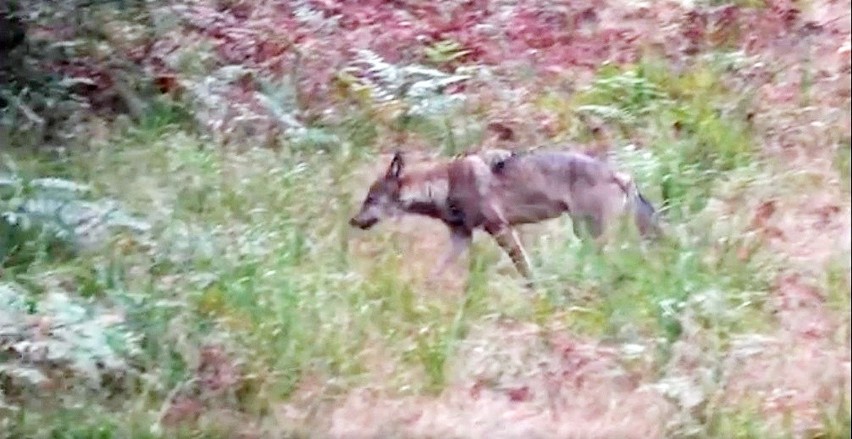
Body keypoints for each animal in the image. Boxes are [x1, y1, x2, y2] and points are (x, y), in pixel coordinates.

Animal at [350, 148, 664, 286]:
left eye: (370, 200)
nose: (352, 221)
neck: (442, 186)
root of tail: (621, 174)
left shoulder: (499, 228)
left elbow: (524, 266)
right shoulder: (461, 237)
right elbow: (437, 270)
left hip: (592, 234)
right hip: (587, 233)